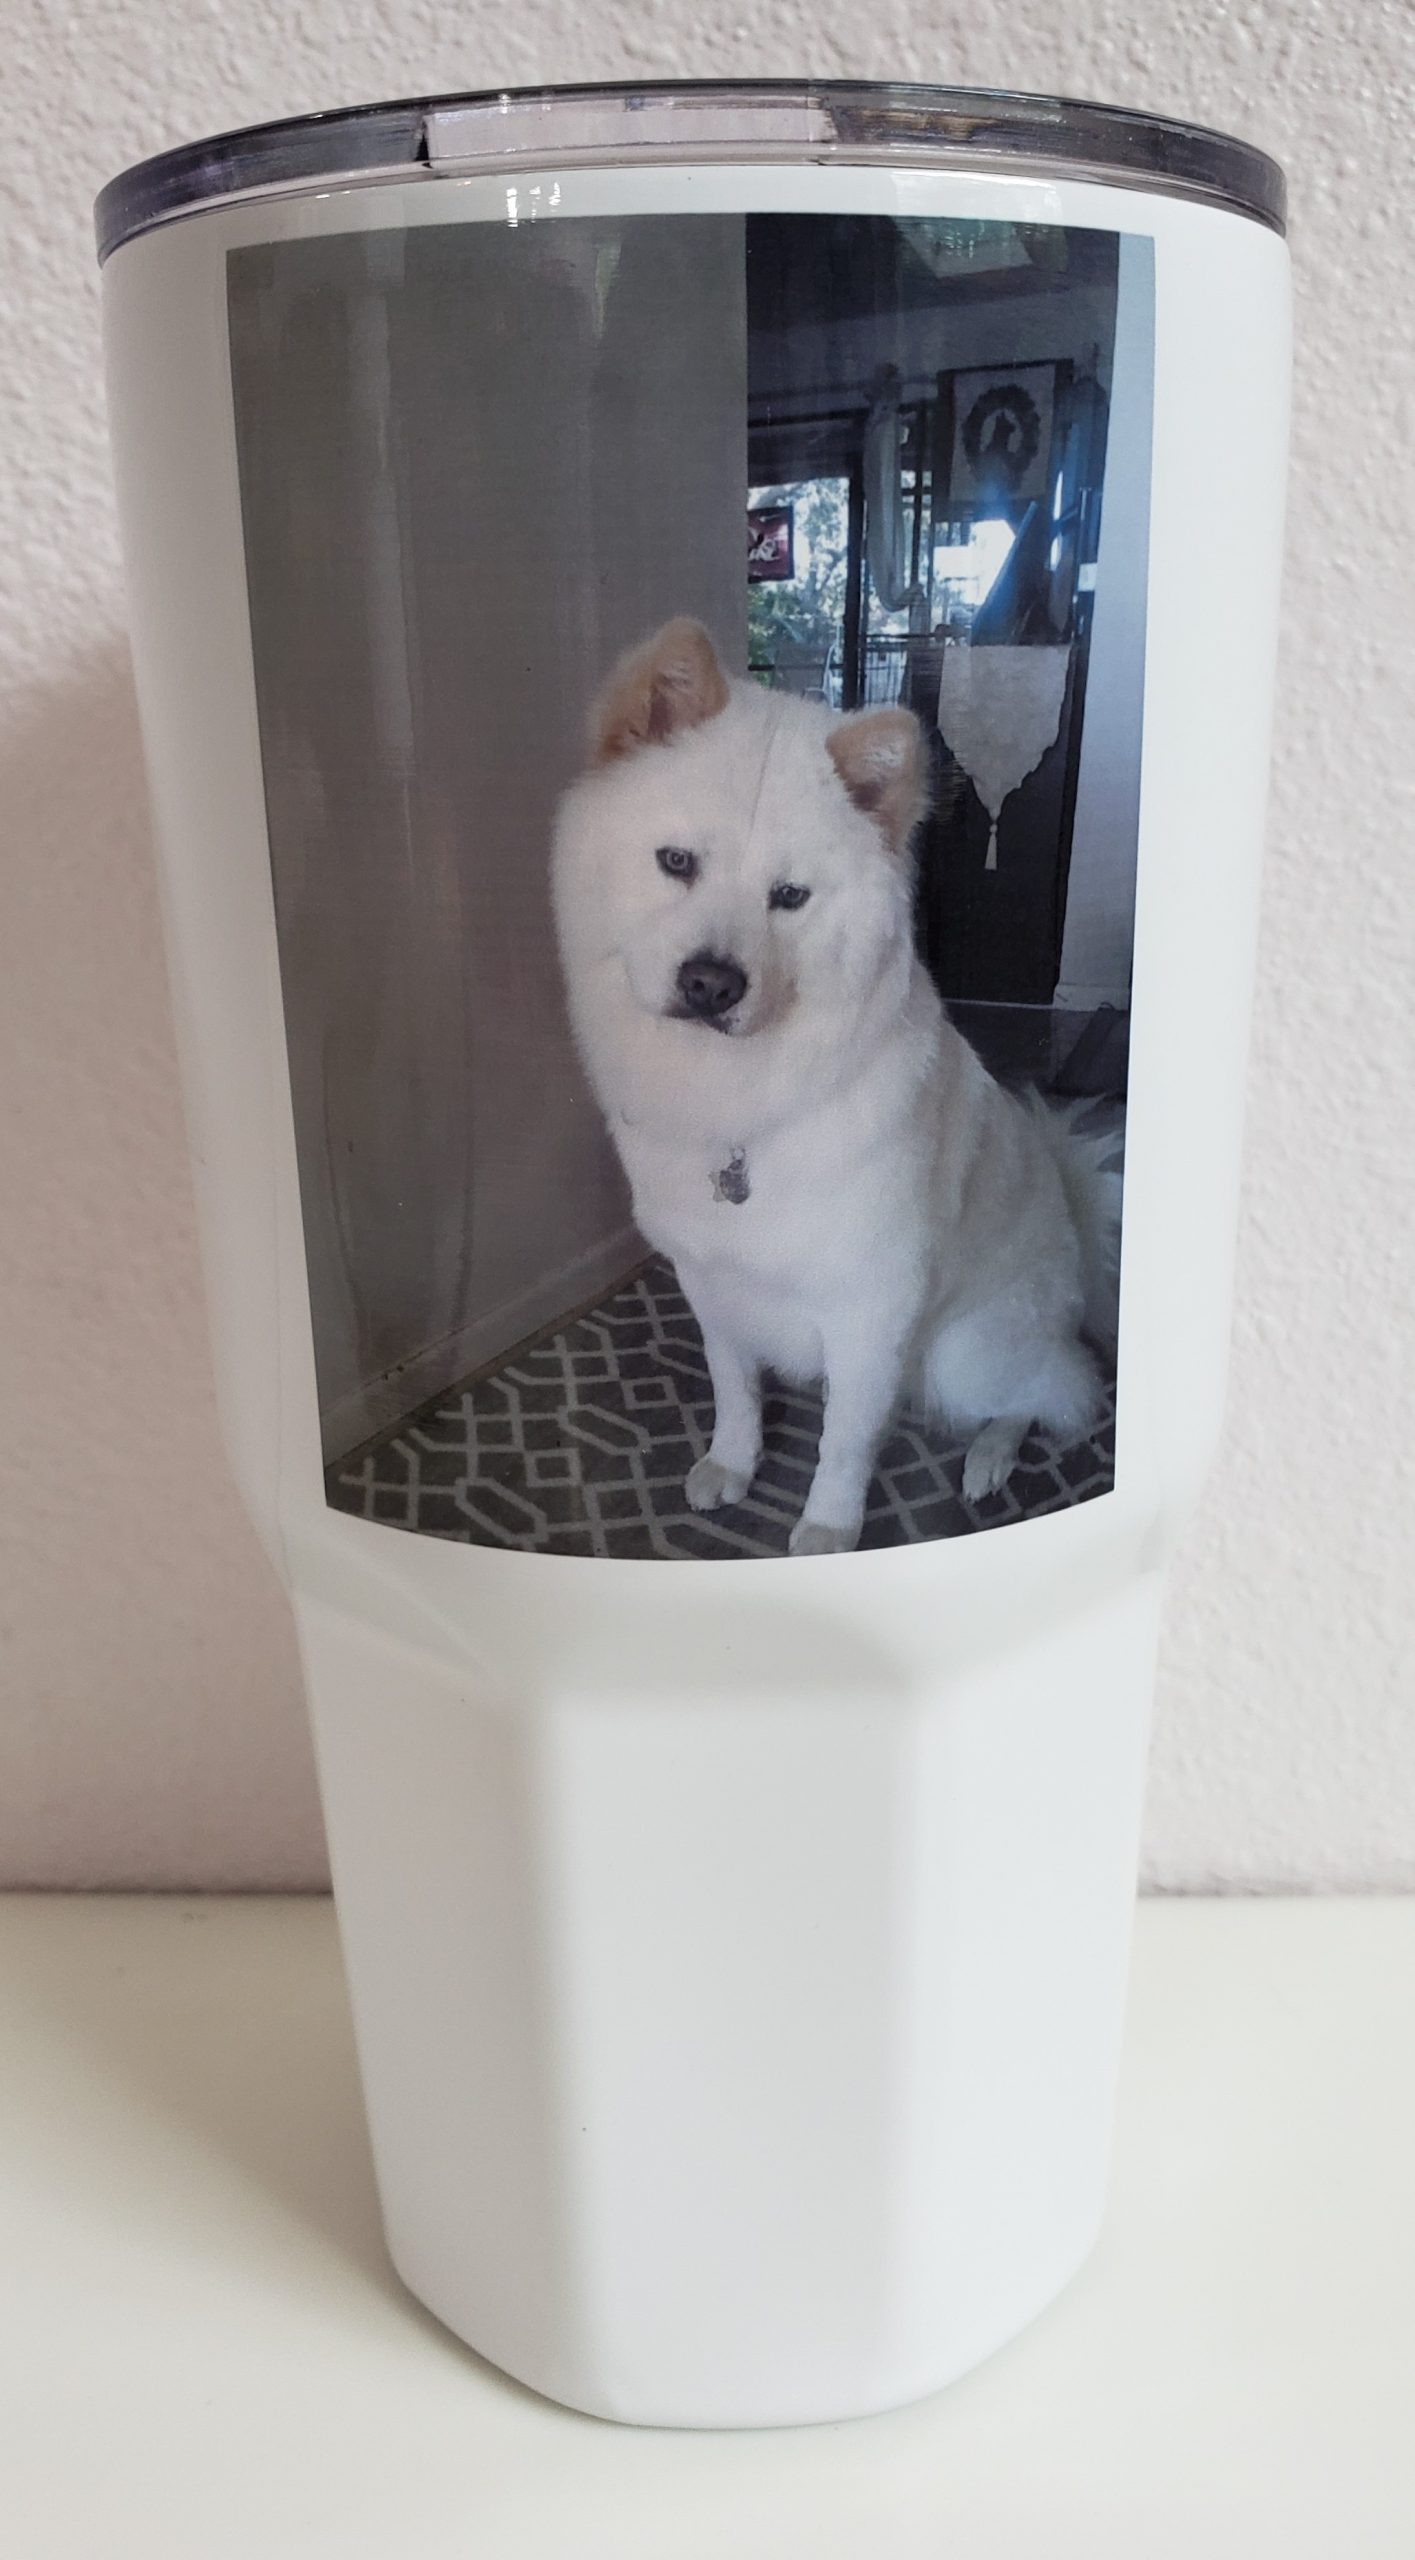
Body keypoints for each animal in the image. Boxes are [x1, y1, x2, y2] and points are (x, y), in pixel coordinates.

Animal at [552, 614, 1115, 1556]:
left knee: (1049, 1389)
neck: (741, 1103)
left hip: (964, 1355)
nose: (710, 983)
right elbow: (734, 1389)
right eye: (676, 862)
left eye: (789, 896)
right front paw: (731, 1466)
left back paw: (990, 1459)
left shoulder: (871, 1305)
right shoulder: (710, 1283)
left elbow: (847, 1441)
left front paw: (825, 1530)